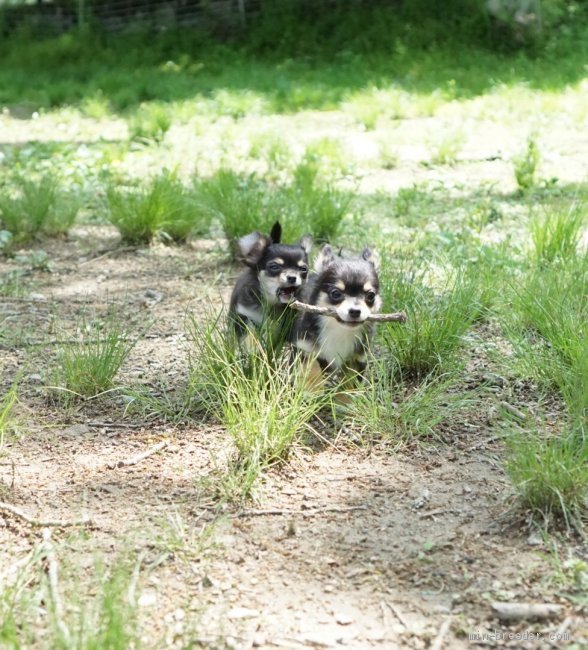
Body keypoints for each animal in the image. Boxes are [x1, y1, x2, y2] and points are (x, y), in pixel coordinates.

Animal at [292, 242, 382, 374]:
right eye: (336, 294)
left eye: (371, 295)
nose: (355, 311)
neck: (340, 331)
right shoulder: (306, 350)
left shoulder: (357, 359)